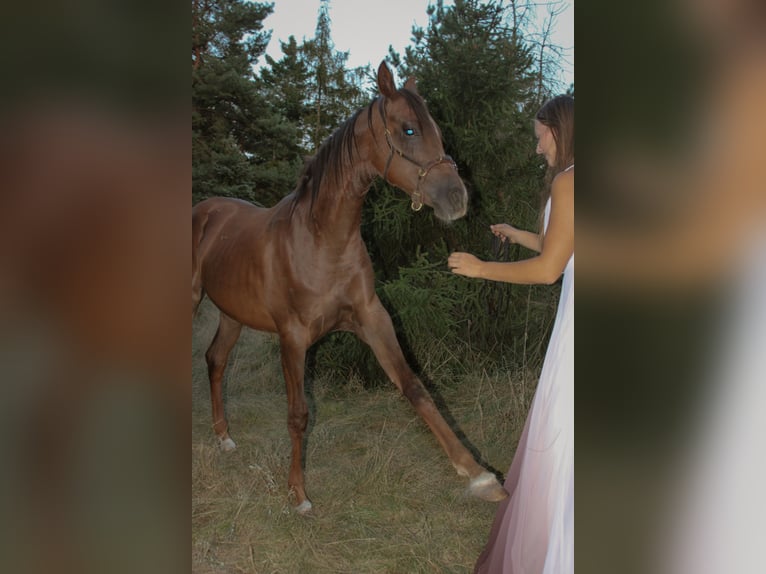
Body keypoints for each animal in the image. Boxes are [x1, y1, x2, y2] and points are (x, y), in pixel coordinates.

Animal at [192, 62, 508, 512]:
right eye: (409, 129)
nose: (456, 197)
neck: (323, 240)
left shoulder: (373, 319)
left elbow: (416, 388)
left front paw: (480, 475)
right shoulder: (293, 337)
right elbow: (298, 414)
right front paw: (298, 493)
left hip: (232, 314)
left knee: (216, 361)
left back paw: (224, 438)